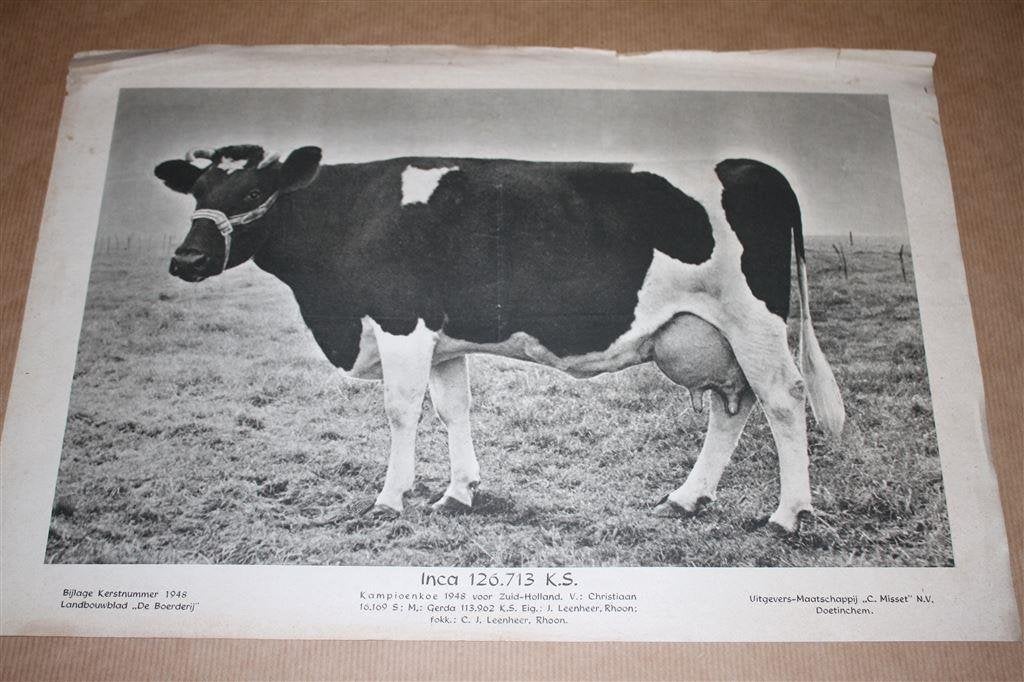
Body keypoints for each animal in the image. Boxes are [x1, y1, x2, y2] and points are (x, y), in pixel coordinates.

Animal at [155, 144, 844, 534]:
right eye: (197, 191)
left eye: (252, 191)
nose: (186, 259)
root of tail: (747, 165)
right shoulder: (442, 337)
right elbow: (452, 408)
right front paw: (457, 494)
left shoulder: (401, 320)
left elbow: (400, 411)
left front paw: (390, 500)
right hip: (714, 334)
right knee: (732, 404)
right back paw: (686, 499)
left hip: (752, 320)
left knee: (783, 399)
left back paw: (789, 515)